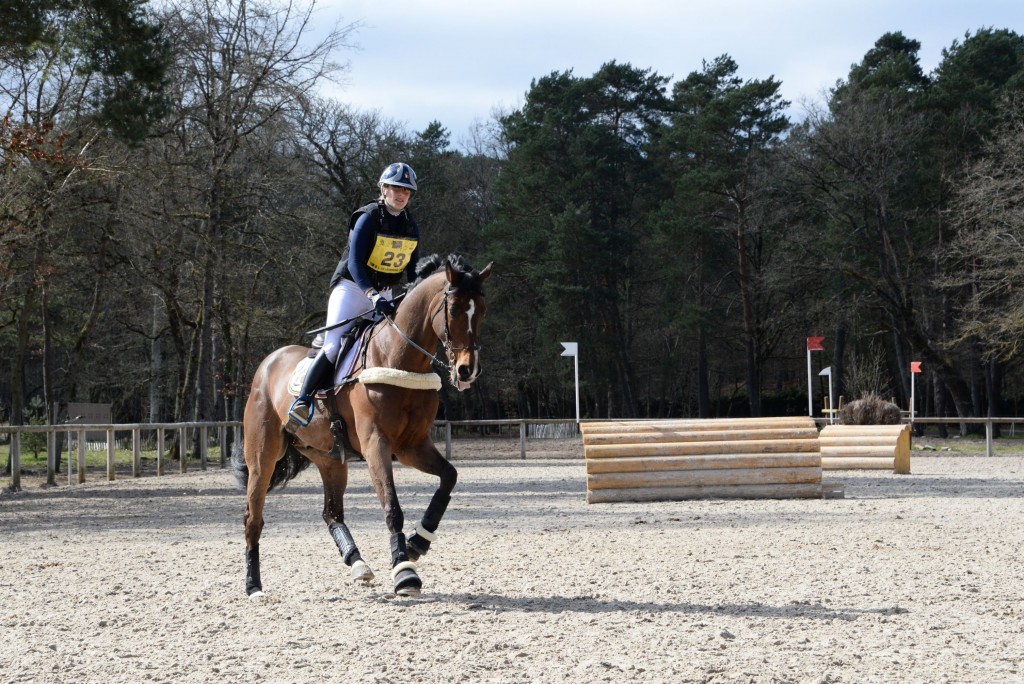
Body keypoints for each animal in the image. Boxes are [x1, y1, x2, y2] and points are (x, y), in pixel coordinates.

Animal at [232, 253, 491, 593]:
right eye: (454, 310)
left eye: (482, 311)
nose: (467, 371)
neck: (398, 356)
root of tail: (268, 363)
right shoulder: (375, 444)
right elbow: (392, 506)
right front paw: (404, 570)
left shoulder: (412, 446)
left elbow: (449, 477)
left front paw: (418, 542)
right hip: (263, 455)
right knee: (253, 517)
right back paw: (253, 586)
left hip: (330, 459)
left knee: (331, 513)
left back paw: (357, 563)